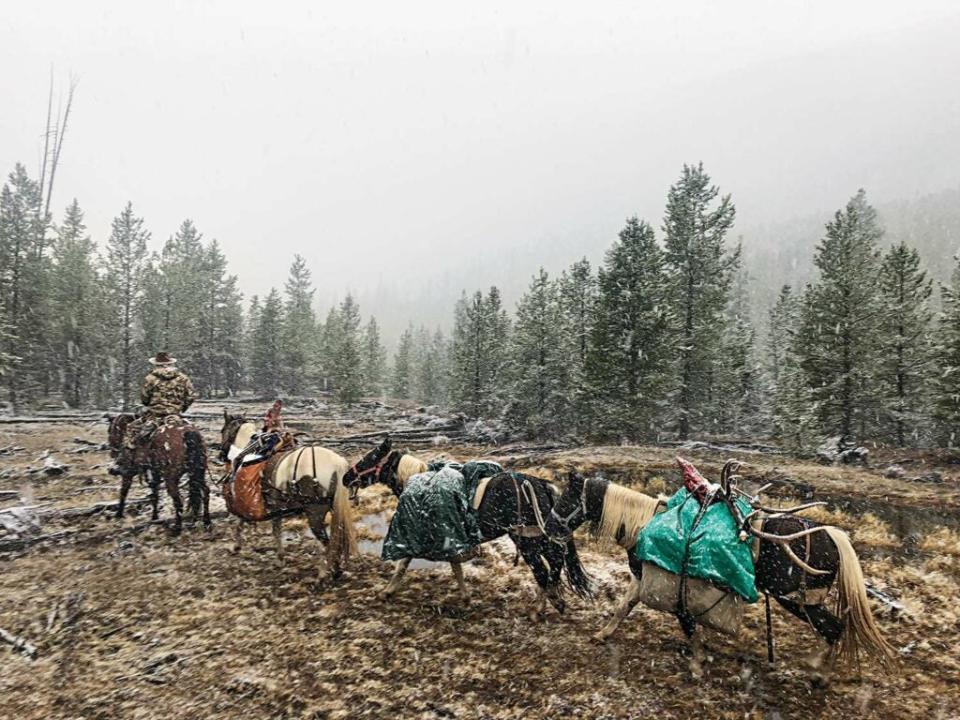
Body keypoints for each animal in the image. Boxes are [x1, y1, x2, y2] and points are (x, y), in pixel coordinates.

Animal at [219, 410, 358, 580]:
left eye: (223, 431)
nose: (220, 455)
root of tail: (336, 464)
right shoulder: (276, 508)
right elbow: (274, 530)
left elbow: (245, 523)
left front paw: (237, 546)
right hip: (335, 507)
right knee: (337, 537)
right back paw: (335, 568)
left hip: (315, 512)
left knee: (325, 541)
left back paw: (324, 571)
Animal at [338, 438, 592, 620]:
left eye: (370, 457)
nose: (346, 477)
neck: (419, 480)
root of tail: (540, 484)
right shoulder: (451, 536)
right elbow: (455, 566)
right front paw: (465, 597)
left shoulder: (425, 533)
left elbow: (403, 563)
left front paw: (387, 591)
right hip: (538, 537)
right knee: (554, 563)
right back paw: (552, 601)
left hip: (526, 540)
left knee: (542, 570)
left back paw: (540, 609)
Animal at [544, 466, 896, 680]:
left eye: (566, 499)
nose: (548, 527)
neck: (644, 524)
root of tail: (833, 536)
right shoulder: (644, 577)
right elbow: (624, 606)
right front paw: (603, 634)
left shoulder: (674, 588)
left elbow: (688, 627)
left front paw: (698, 665)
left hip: (798, 600)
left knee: (834, 628)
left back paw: (817, 674)